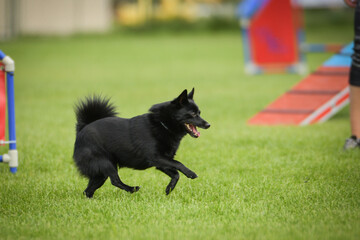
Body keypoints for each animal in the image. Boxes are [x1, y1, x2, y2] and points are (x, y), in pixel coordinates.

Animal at [72, 88, 208, 197]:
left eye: (199, 113)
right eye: (192, 114)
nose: (208, 124)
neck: (162, 124)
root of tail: (81, 130)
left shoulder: (162, 162)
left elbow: (176, 174)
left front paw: (168, 189)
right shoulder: (156, 157)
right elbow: (179, 164)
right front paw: (190, 173)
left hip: (100, 174)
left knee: (88, 190)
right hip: (106, 163)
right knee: (115, 180)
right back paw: (132, 189)